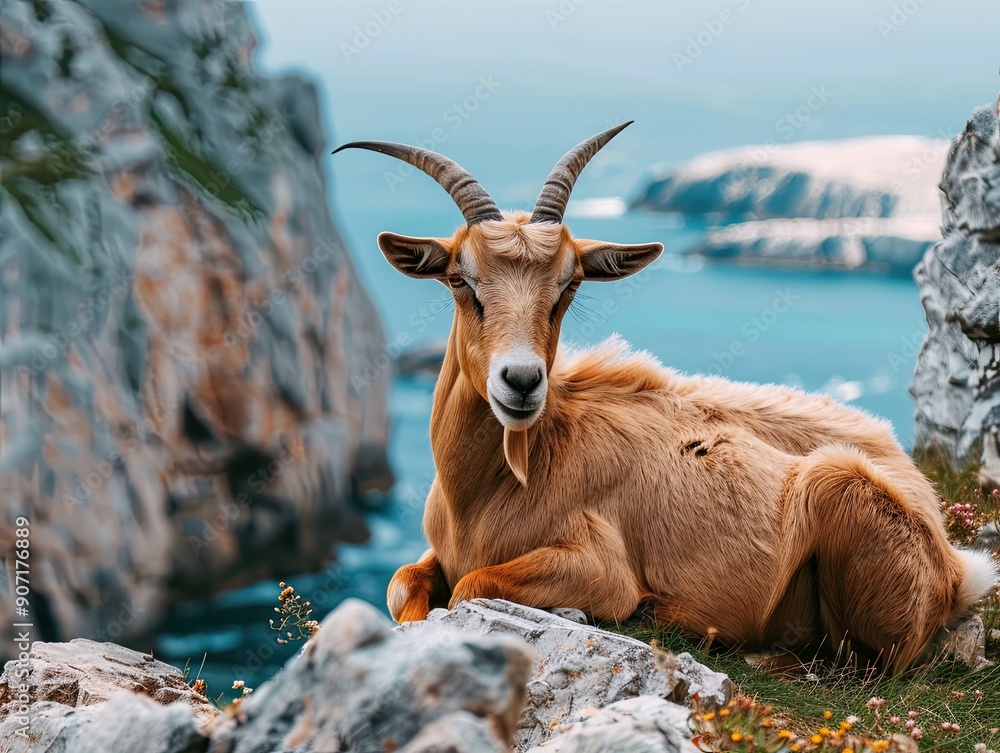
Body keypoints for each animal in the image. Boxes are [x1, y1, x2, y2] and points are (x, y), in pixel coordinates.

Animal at [335, 123, 997, 671]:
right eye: (459, 279)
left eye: (568, 286)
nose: (520, 381)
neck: (489, 491)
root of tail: (955, 567)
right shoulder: (431, 555)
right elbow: (401, 584)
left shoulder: (599, 566)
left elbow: (473, 585)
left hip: (838, 490)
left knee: (864, 663)